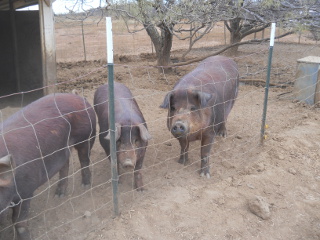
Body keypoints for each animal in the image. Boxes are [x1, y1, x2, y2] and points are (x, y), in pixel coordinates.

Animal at [0, 93, 96, 239]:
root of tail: (78, 97)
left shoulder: (26, 190)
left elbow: (19, 222)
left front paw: (27, 237)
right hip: (62, 148)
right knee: (65, 164)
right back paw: (59, 195)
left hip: (85, 135)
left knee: (84, 159)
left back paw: (85, 185)